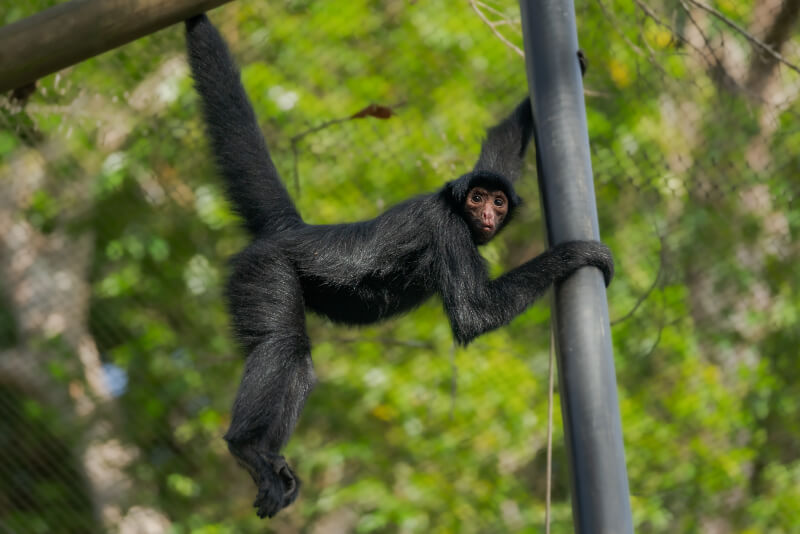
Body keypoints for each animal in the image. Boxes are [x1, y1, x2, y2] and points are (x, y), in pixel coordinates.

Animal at [184, 14, 612, 518]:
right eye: (476, 199)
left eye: (498, 201)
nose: (488, 213)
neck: (456, 209)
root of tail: (293, 230)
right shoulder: (446, 226)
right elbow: (474, 314)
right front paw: (579, 254)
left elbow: (500, 148)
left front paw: (575, 67)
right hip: (265, 269)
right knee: (285, 346)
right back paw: (247, 449)